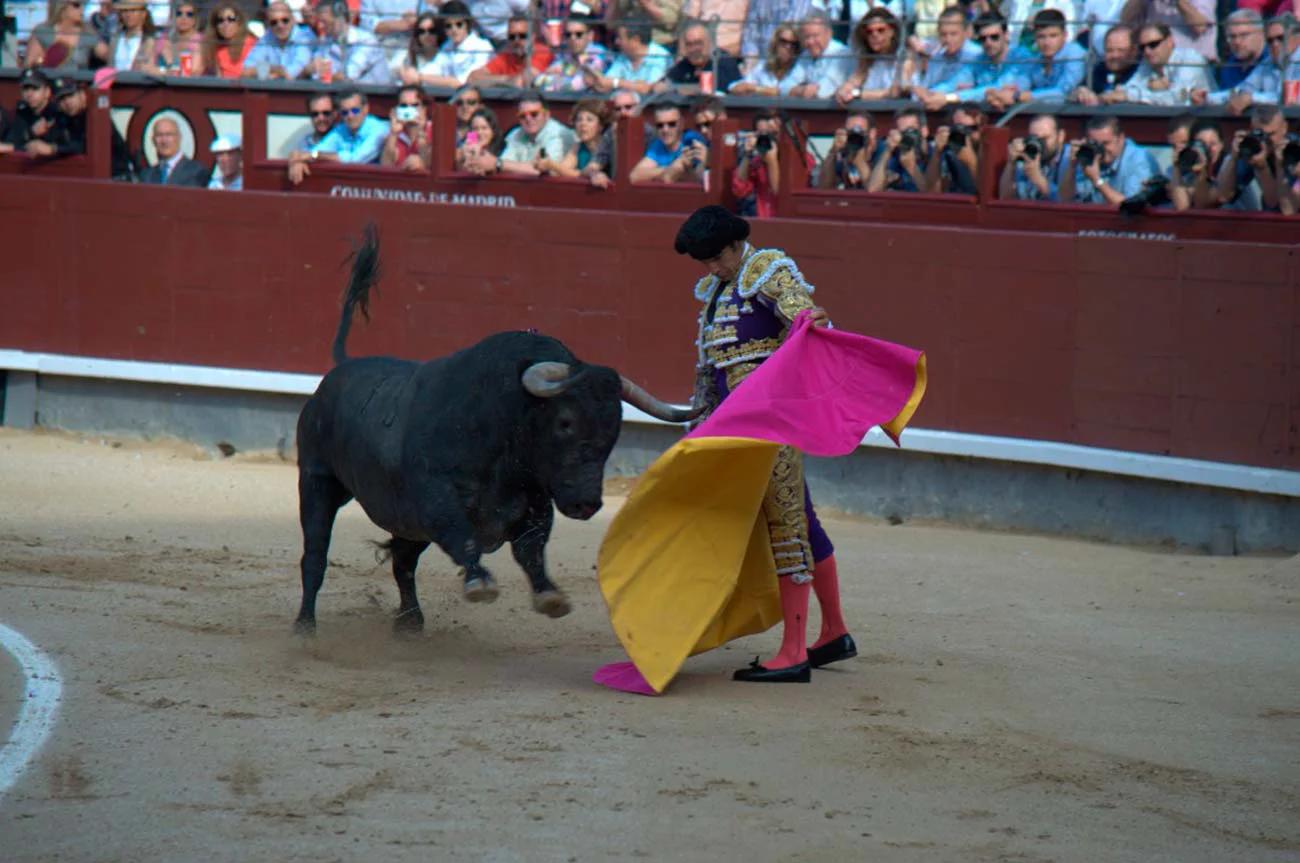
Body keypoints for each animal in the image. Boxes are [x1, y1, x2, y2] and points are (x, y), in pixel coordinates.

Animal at [296, 227, 702, 634]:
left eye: (614, 426)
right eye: (565, 422)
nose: (586, 504)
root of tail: (339, 370)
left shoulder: (535, 503)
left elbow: (531, 550)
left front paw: (550, 596)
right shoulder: (436, 499)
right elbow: (462, 537)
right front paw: (479, 583)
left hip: (404, 522)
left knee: (402, 561)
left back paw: (410, 623)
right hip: (317, 481)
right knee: (315, 556)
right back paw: (305, 628)